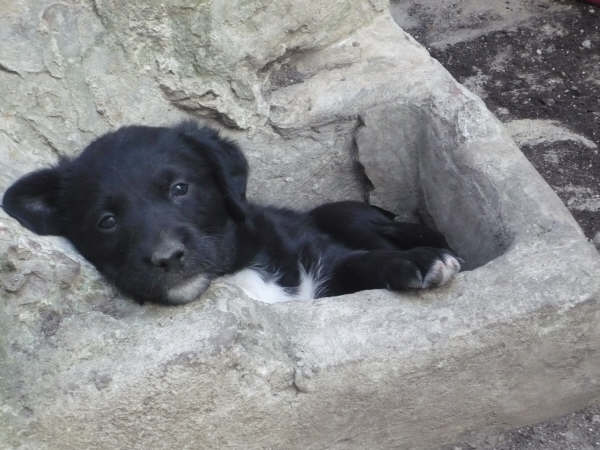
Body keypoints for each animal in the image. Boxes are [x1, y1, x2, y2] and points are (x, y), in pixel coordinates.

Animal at [3, 121, 460, 304]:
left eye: (180, 188)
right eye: (106, 221)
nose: (168, 258)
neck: (239, 275)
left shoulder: (325, 261)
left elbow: (360, 262)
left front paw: (417, 264)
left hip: (343, 214)